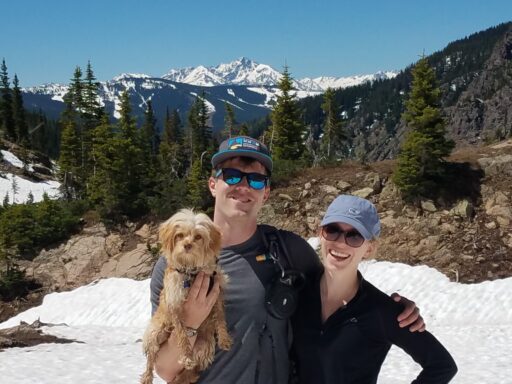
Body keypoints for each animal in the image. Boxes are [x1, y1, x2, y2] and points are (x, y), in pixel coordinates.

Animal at [138, 210, 230, 384]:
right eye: (179, 235)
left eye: (198, 236)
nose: (187, 245)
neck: (191, 272)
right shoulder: (174, 304)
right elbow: (182, 333)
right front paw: (186, 356)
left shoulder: (216, 294)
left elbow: (221, 318)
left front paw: (224, 338)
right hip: (154, 334)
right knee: (151, 358)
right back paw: (147, 377)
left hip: (204, 347)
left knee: (193, 369)